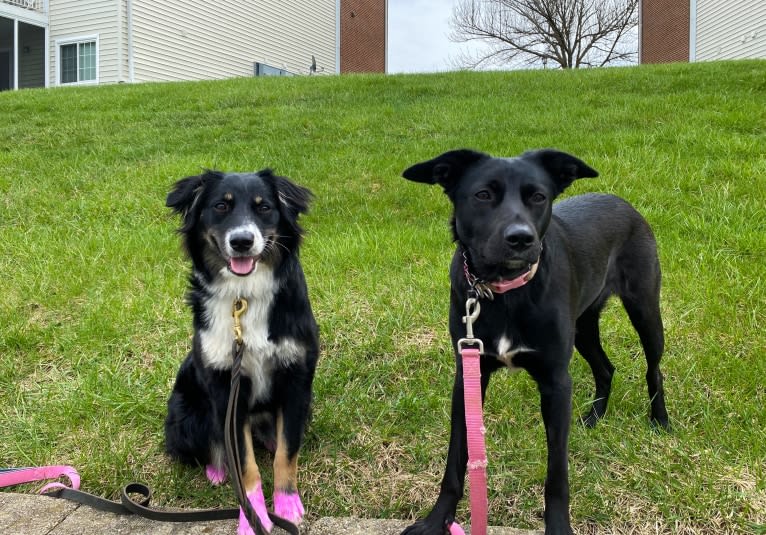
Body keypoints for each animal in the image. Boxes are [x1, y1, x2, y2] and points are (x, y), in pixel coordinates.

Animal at [164, 170, 320, 532]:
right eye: (221, 206)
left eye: (264, 208)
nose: (242, 241)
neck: (244, 296)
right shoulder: (226, 390)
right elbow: (245, 464)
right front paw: (253, 516)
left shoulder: (296, 380)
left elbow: (287, 453)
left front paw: (287, 504)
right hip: (186, 413)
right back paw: (217, 470)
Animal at [402, 151, 672, 535]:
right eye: (483, 195)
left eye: (539, 197)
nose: (521, 239)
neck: (504, 293)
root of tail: (622, 202)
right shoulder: (468, 376)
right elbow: (456, 457)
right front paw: (436, 520)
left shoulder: (555, 382)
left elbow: (557, 472)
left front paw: (558, 527)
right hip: (584, 327)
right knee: (605, 367)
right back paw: (594, 417)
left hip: (645, 309)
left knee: (654, 368)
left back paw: (659, 421)